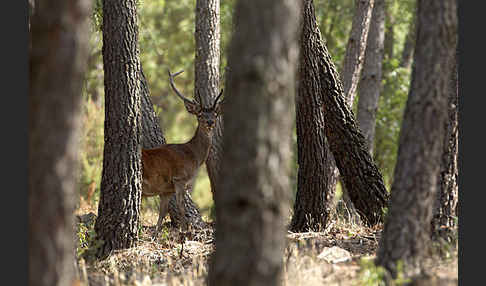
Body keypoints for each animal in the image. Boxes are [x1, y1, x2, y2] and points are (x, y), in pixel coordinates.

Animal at [141, 70, 223, 237]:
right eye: (200, 115)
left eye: (215, 114)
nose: (210, 122)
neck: (193, 156)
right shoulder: (179, 179)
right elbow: (181, 207)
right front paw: (185, 231)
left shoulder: (166, 190)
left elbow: (162, 213)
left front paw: (156, 235)